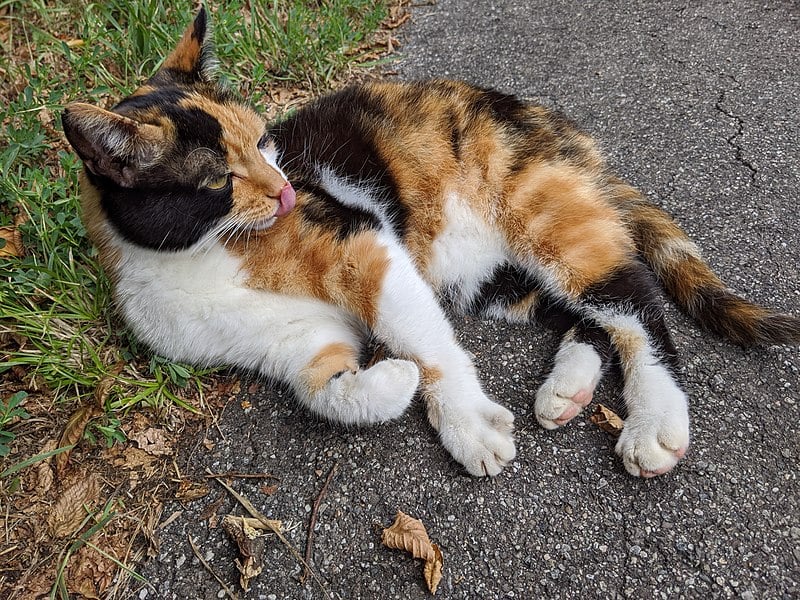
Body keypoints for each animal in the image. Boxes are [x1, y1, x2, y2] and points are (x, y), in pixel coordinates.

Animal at [59, 8, 796, 478]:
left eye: (266, 143)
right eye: (220, 178)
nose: (288, 192)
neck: (198, 258)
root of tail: (551, 123)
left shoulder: (362, 241)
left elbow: (424, 337)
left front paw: (465, 424)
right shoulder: (293, 345)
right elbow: (325, 390)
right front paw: (393, 381)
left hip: (539, 210)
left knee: (632, 299)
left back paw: (653, 422)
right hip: (492, 276)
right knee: (584, 312)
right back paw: (568, 387)